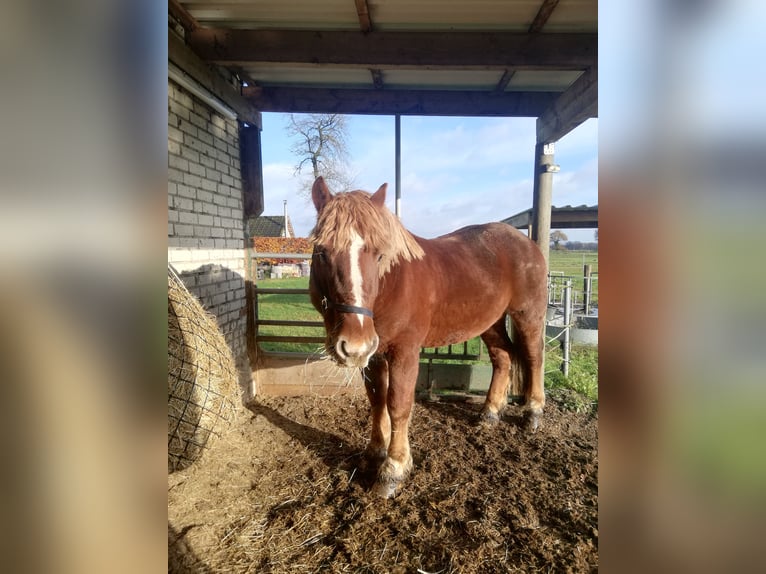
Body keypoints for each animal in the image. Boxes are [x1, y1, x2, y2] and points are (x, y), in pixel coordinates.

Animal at [308, 177, 548, 500]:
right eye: (321, 252)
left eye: (379, 254)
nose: (353, 344)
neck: (392, 283)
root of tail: (526, 243)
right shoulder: (374, 355)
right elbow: (377, 401)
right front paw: (374, 453)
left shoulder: (405, 351)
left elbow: (398, 405)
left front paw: (393, 469)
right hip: (490, 322)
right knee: (503, 357)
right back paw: (490, 412)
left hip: (528, 315)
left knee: (534, 357)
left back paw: (533, 412)